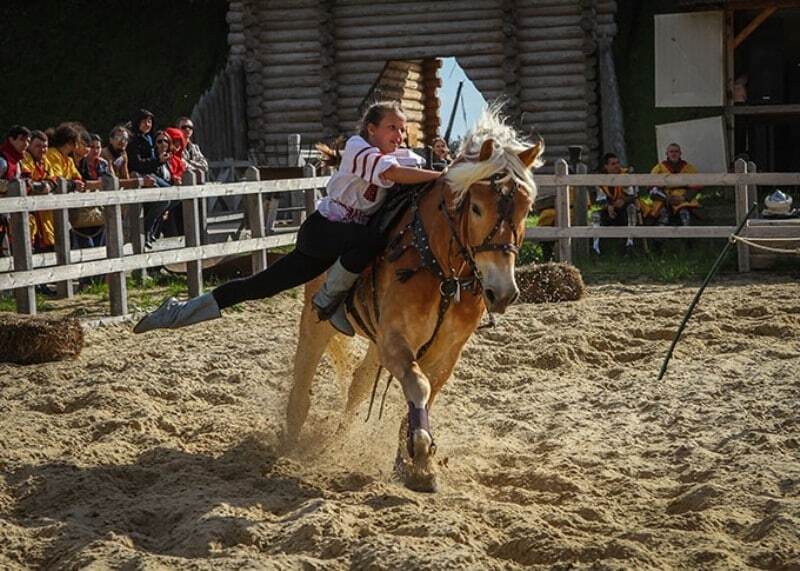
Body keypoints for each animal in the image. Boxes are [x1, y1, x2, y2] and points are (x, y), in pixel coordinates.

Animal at [284, 109, 540, 494]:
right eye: (477, 208)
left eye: (526, 209)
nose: (503, 292)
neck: (443, 269)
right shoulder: (396, 340)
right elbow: (418, 386)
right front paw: (419, 455)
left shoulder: (443, 352)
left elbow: (424, 394)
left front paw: (414, 462)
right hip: (317, 320)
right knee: (305, 371)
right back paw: (290, 436)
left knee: (359, 383)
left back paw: (343, 435)